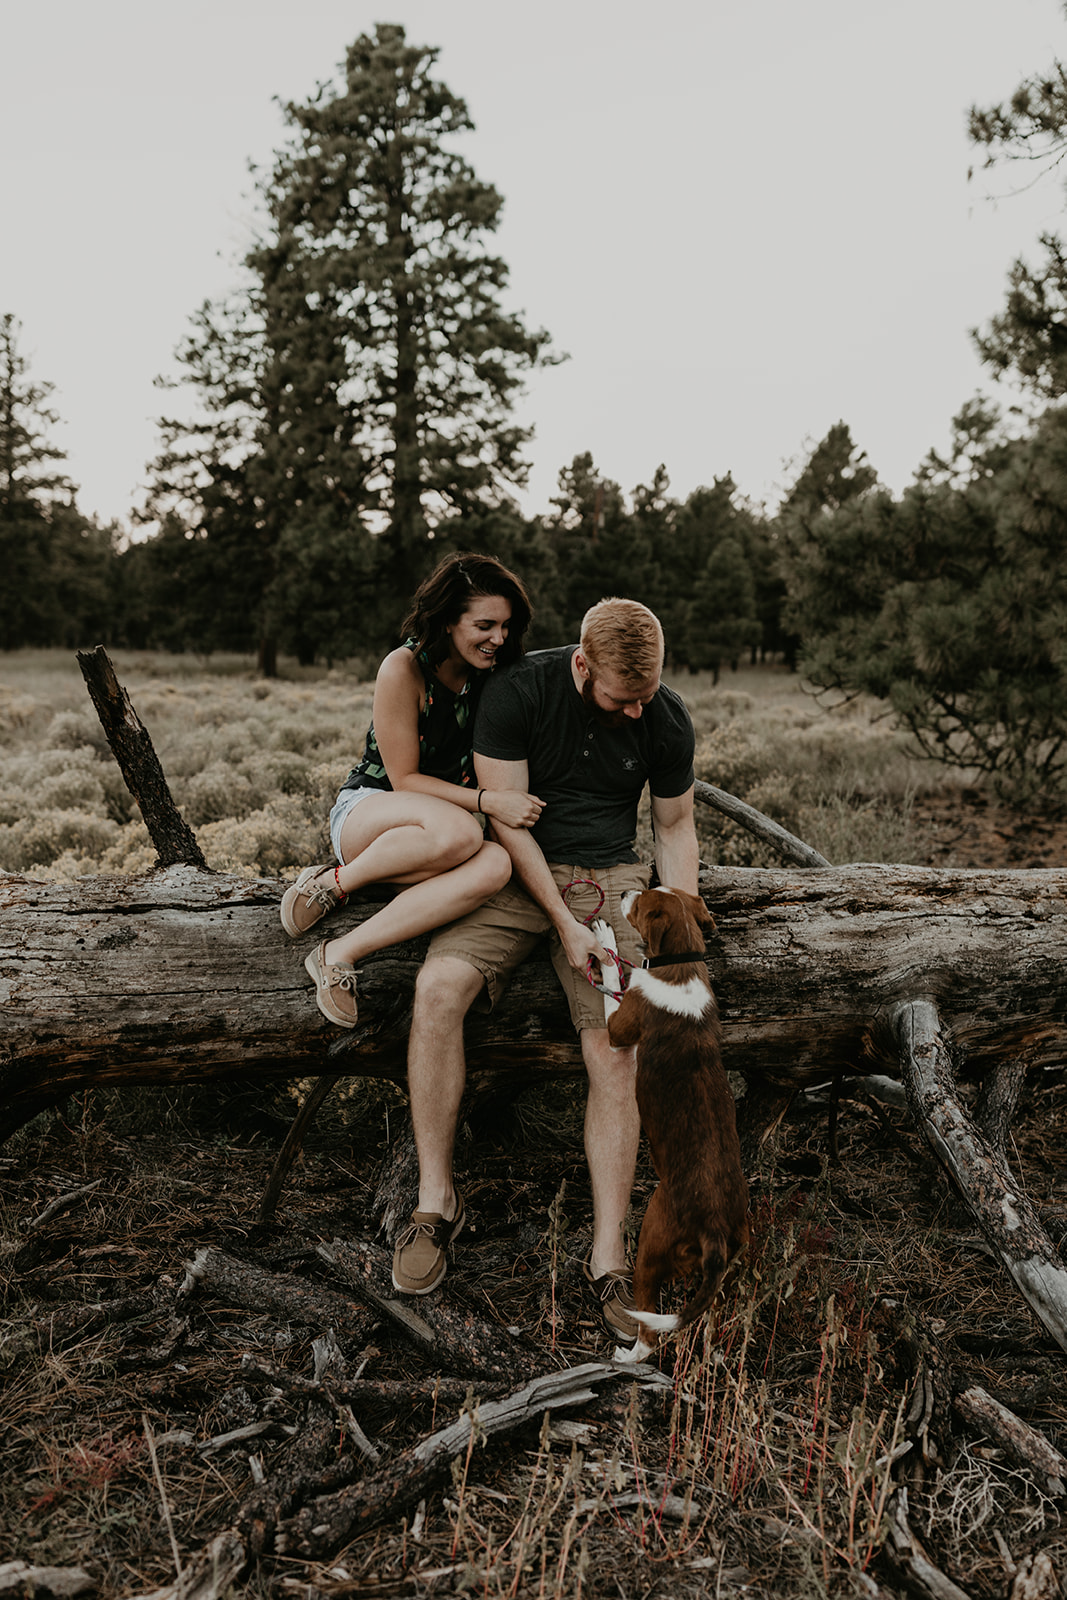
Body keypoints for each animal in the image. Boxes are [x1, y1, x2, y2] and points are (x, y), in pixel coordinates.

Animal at [591, 889, 751, 1363]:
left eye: (641, 903)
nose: (626, 892)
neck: (679, 965)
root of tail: (713, 1228)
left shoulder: (619, 1028)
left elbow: (615, 978)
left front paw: (604, 940)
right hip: (729, 1271)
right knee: (710, 1319)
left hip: (649, 1248)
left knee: (649, 1331)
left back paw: (628, 1358)